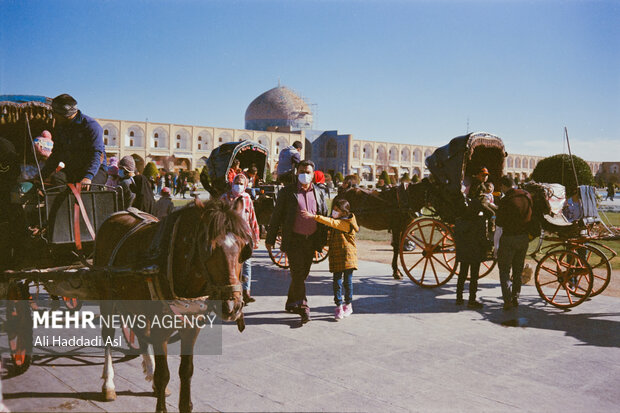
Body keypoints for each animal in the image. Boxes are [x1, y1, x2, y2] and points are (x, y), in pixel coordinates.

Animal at [92, 198, 252, 410]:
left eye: (245, 250)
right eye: (208, 249)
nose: (232, 306)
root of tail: (119, 213)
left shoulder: (192, 327)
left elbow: (186, 371)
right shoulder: (160, 330)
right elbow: (164, 375)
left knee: (141, 333)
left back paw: (149, 371)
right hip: (106, 297)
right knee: (108, 335)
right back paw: (109, 383)